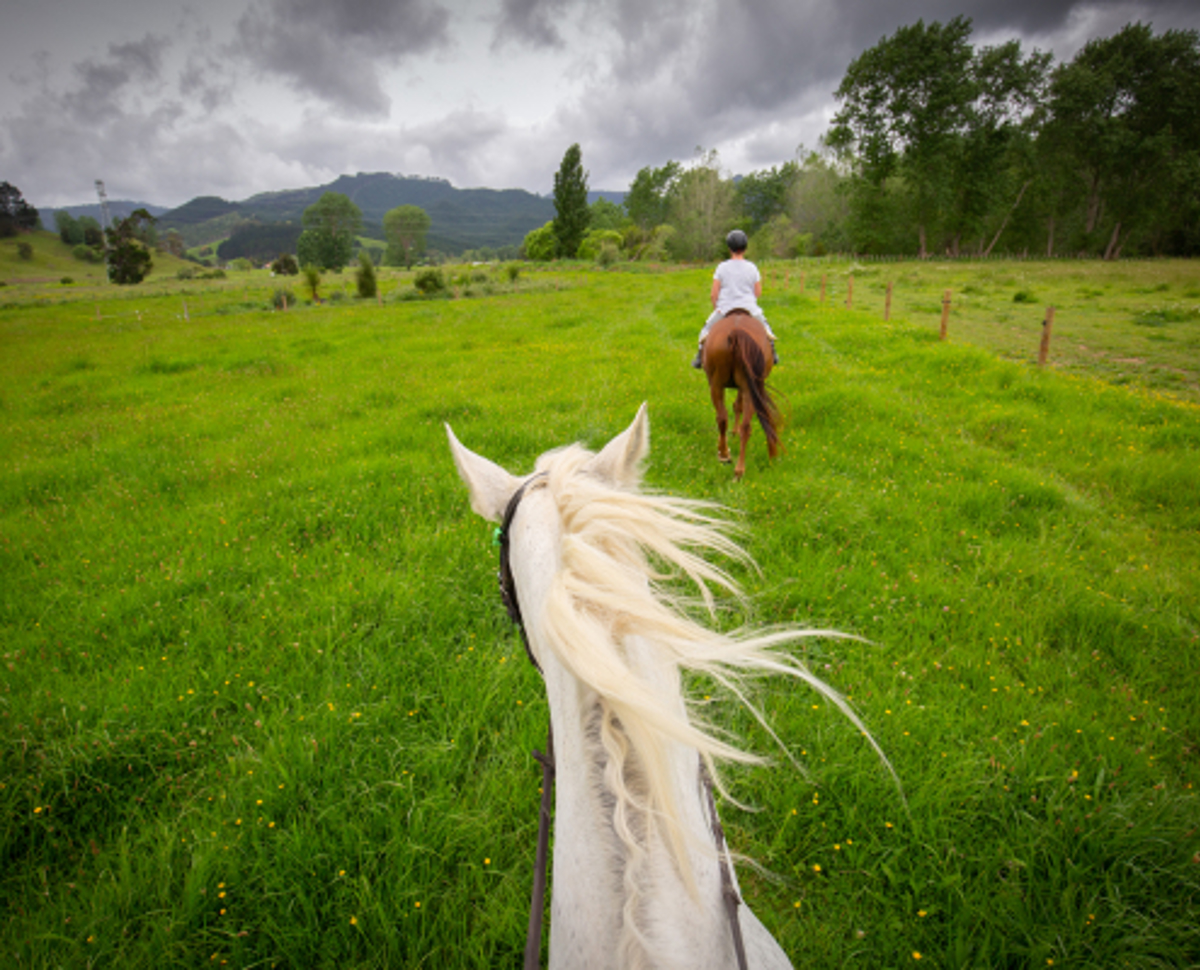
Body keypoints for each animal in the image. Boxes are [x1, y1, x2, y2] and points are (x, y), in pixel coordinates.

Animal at [702, 310, 781, 480]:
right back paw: (735, 466)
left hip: (717, 385)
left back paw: (728, 458)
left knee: (724, 419)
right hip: (742, 387)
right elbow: (738, 406)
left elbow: (736, 406)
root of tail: (736, 332)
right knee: (740, 424)